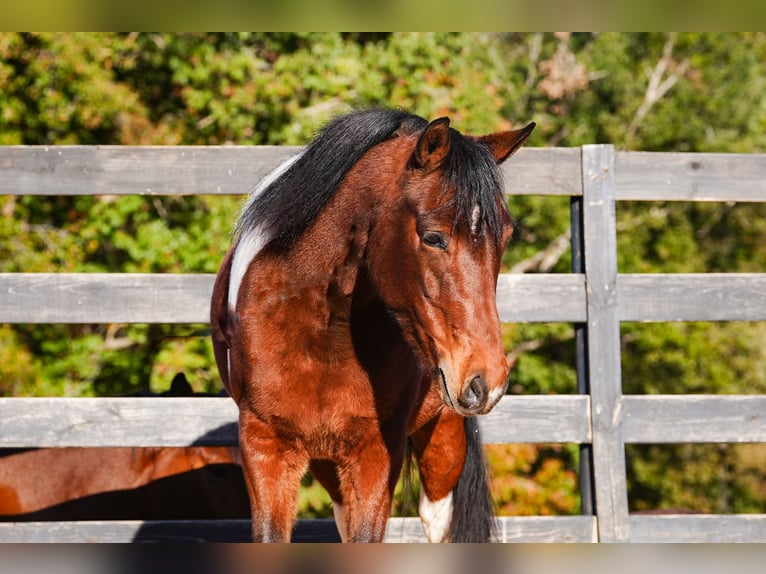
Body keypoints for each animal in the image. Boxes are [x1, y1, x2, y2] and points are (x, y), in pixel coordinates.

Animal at [210, 108, 534, 542]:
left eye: (505, 237)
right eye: (433, 238)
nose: (487, 382)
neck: (320, 335)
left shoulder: (375, 453)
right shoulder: (266, 447)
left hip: (443, 435)